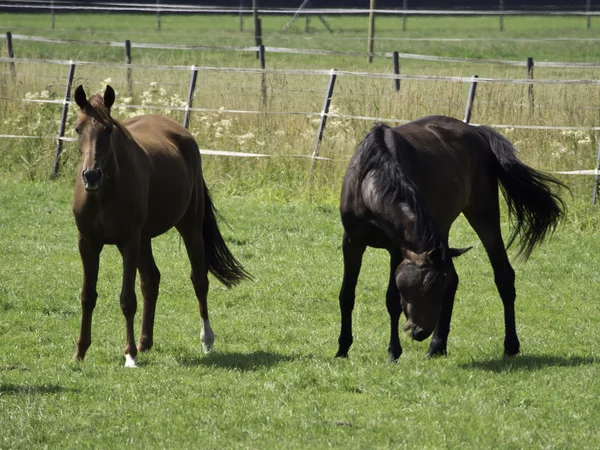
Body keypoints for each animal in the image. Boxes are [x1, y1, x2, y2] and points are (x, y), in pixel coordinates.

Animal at [72, 85, 251, 370]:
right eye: (79, 128)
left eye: (108, 129)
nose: (91, 175)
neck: (104, 193)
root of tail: (182, 133)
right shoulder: (87, 242)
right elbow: (88, 296)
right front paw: (80, 352)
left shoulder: (128, 242)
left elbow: (127, 299)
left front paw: (129, 355)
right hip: (144, 239)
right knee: (151, 280)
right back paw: (145, 342)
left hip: (189, 227)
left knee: (199, 280)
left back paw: (206, 340)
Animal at [338, 116, 568, 362]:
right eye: (427, 287)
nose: (421, 332)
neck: (369, 182)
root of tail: (476, 131)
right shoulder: (352, 243)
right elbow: (347, 295)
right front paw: (342, 349)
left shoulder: (396, 250)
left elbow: (392, 300)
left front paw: (393, 352)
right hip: (444, 229)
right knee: (456, 279)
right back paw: (437, 346)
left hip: (483, 214)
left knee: (503, 276)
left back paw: (509, 345)